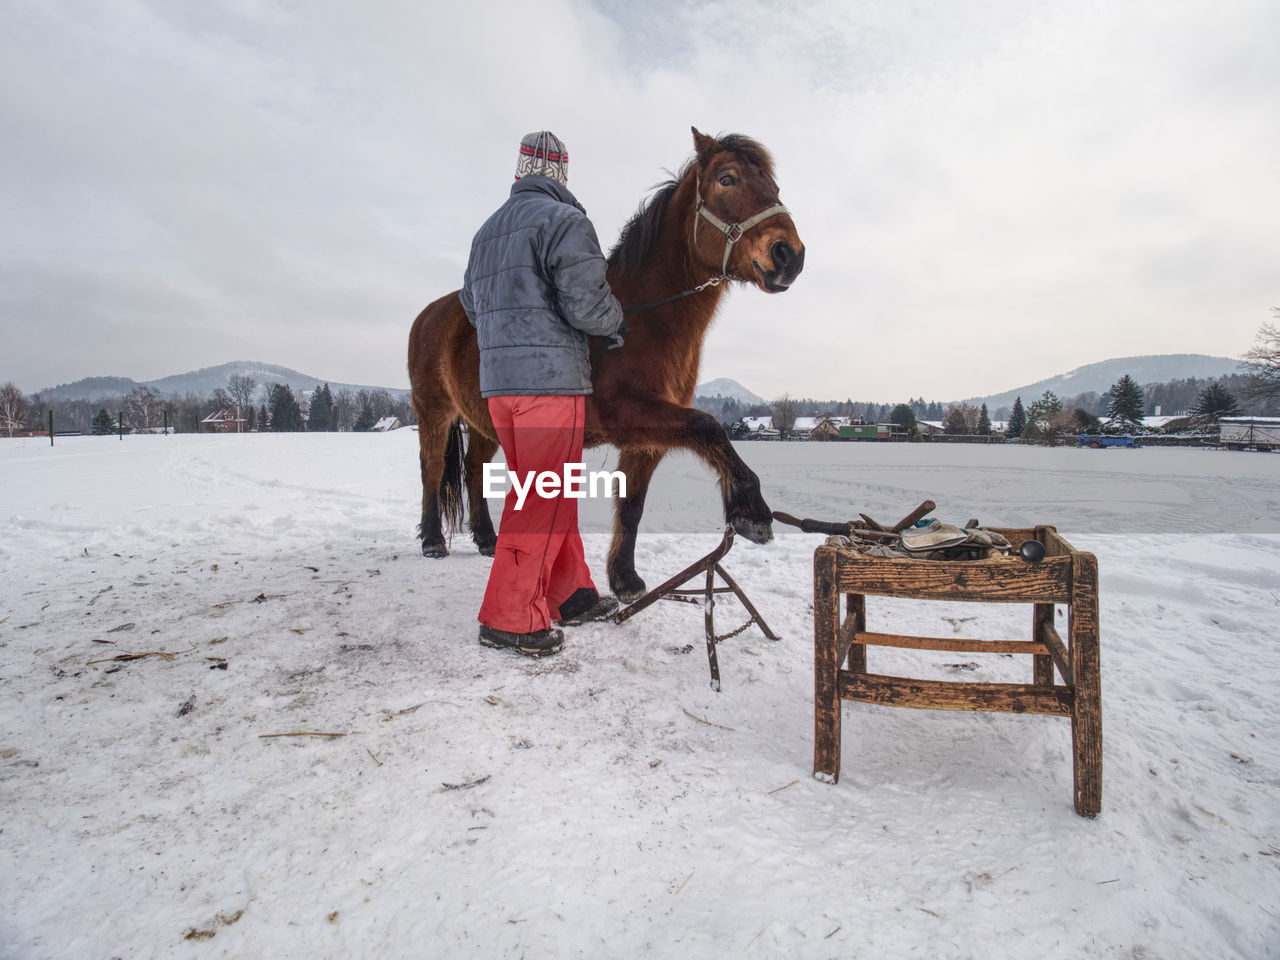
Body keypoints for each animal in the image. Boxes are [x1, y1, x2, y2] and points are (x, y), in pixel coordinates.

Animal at [409, 129, 803, 601]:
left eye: (774, 186)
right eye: (727, 179)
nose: (789, 255)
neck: (640, 315)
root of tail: (429, 314)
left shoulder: (646, 439)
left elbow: (632, 506)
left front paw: (625, 579)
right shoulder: (632, 413)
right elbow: (709, 426)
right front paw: (751, 508)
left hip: (485, 424)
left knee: (472, 470)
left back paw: (487, 538)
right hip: (434, 413)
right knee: (432, 470)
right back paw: (433, 541)